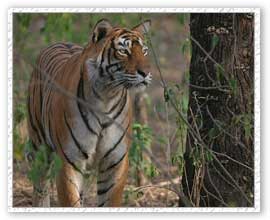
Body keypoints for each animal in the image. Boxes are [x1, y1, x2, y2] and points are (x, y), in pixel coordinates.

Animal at [27, 18, 153, 207]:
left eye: (144, 51)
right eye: (123, 51)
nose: (146, 73)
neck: (106, 97)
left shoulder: (115, 163)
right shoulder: (69, 162)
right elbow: (70, 201)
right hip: (39, 147)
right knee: (40, 187)